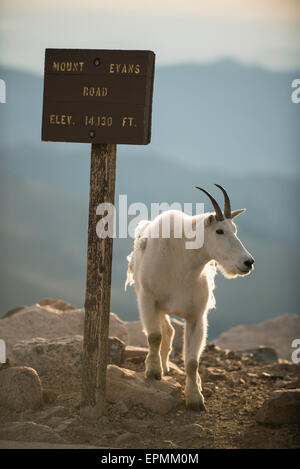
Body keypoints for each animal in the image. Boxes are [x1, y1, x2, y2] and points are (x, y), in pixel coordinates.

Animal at [125, 184, 254, 410]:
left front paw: (195, 398)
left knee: (169, 331)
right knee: (165, 331)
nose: (248, 262)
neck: (182, 264)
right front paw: (153, 372)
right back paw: (162, 366)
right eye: (219, 231)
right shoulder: (148, 300)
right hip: (157, 305)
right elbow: (154, 336)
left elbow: (193, 361)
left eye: (235, 230)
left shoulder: (196, 316)